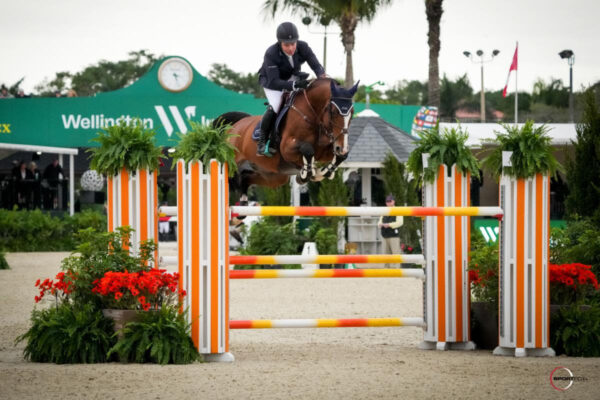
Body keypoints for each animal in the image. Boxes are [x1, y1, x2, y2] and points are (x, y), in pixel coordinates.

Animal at [214, 77, 358, 195]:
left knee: (247, 179)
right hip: (232, 164)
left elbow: (340, 156)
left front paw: (324, 172)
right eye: (333, 112)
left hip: (273, 175)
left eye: (352, 112)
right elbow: (307, 149)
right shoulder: (287, 148)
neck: (313, 114)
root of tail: (235, 125)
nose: (341, 147)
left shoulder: (323, 151)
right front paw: (306, 174)